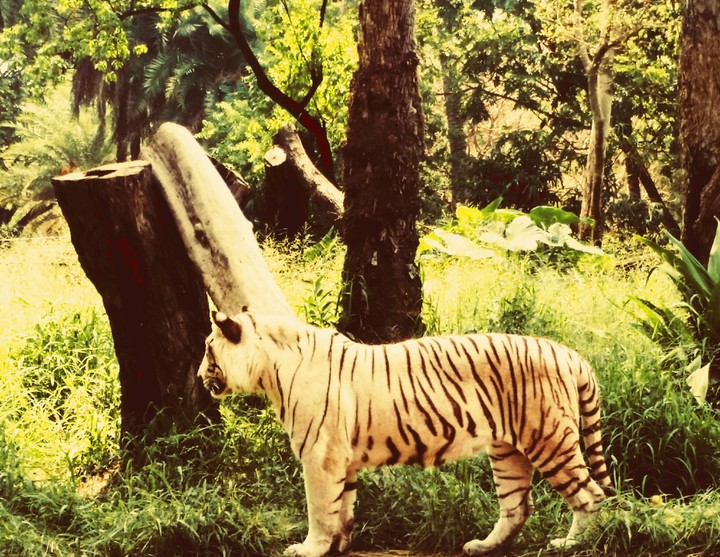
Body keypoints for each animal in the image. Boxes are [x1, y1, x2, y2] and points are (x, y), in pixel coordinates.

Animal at [197, 308, 612, 557]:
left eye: (208, 350)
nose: (200, 376)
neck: (269, 371)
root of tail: (570, 354)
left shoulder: (320, 457)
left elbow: (319, 509)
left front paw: (310, 548)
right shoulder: (343, 461)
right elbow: (343, 507)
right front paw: (341, 545)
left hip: (549, 439)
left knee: (590, 495)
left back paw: (570, 544)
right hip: (508, 450)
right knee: (517, 506)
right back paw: (483, 546)